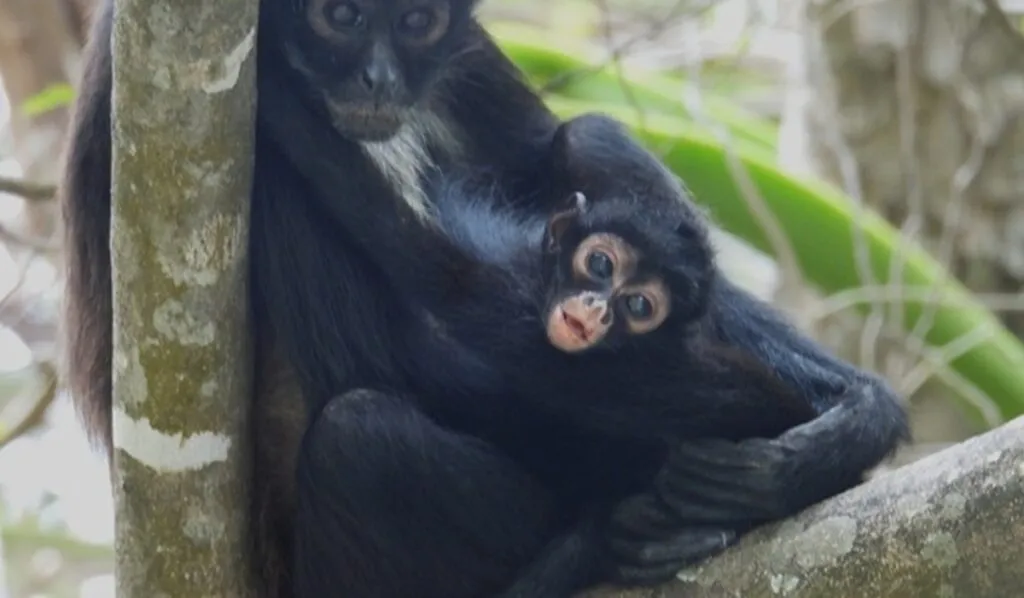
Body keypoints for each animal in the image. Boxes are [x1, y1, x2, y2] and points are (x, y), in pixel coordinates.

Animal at [59, 0, 910, 596]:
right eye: (340, 16)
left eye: (417, 22)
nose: (379, 81)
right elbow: (423, 333)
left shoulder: (460, 61)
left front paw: (841, 433)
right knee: (361, 436)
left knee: (587, 137)